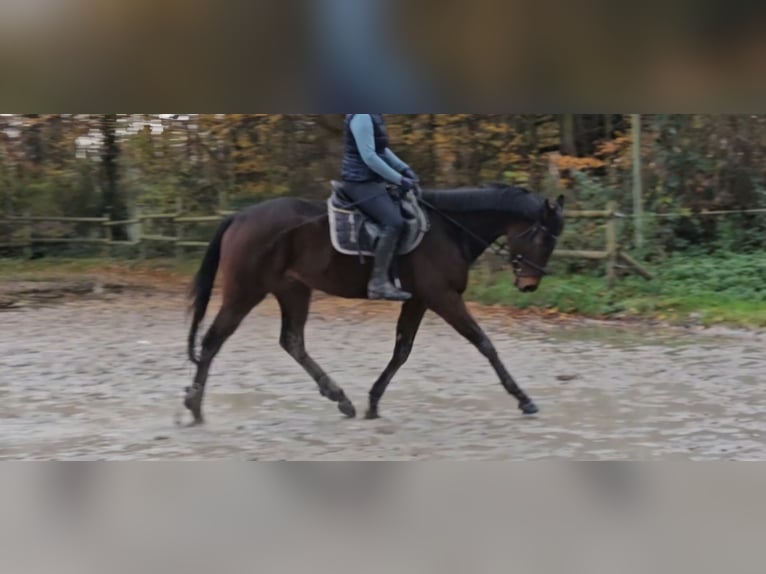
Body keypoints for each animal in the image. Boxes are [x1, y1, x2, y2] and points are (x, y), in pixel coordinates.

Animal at [186, 184, 568, 428]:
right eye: (542, 237)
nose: (529, 285)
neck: (449, 230)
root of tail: (239, 217)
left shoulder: (420, 300)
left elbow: (402, 350)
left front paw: (372, 401)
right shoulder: (443, 297)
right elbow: (484, 343)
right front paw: (523, 399)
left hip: (293, 290)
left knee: (292, 341)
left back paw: (340, 398)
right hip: (245, 291)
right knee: (213, 340)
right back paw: (194, 407)